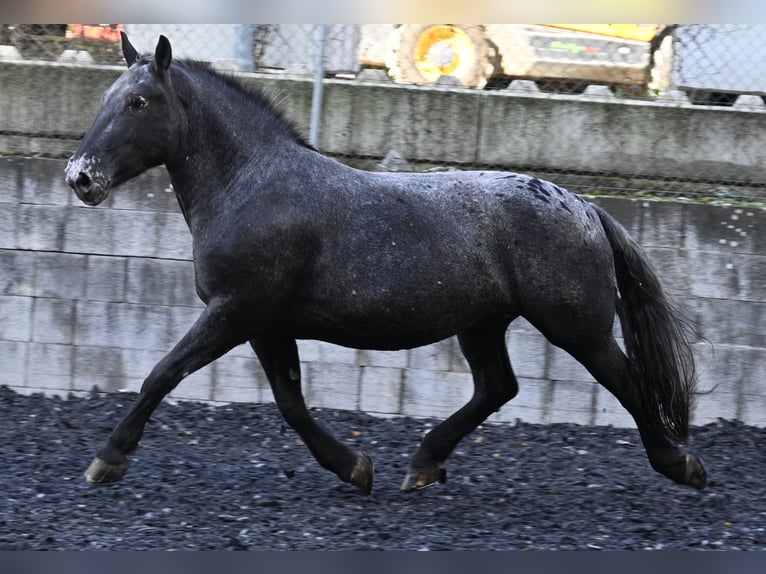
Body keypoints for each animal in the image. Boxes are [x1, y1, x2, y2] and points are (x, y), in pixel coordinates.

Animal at [64, 33, 708, 498]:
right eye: (104, 100)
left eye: (138, 102)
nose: (80, 176)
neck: (252, 186)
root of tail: (586, 207)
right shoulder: (267, 324)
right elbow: (291, 403)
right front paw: (356, 467)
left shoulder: (234, 312)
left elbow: (162, 373)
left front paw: (107, 460)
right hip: (483, 324)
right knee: (497, 387)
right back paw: (422, 464)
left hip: (576, 327)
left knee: (627, 382)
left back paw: (683, 466)